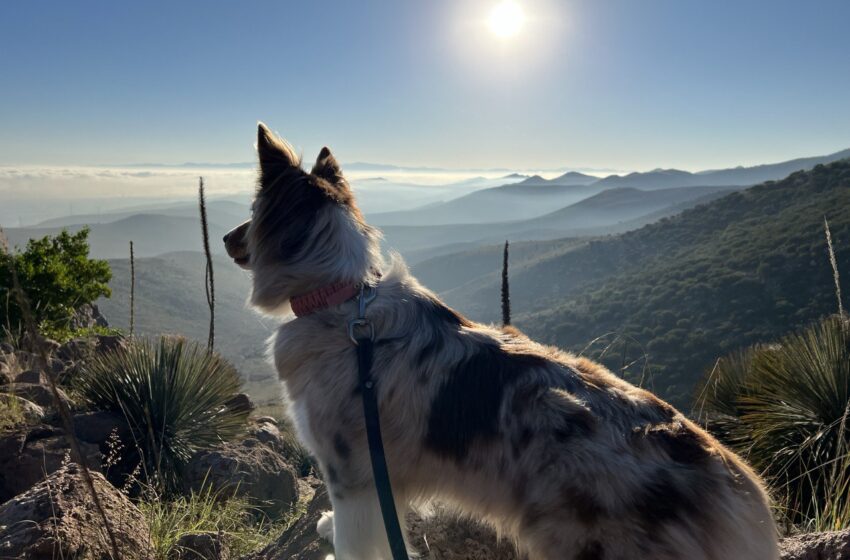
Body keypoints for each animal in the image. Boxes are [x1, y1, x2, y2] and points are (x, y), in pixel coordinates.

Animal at [224, 122, 776, 560]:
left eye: (251, 211)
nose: (227, 239)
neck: (341, 299)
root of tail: (735, 484)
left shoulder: (350, 473)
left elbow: (357, 542)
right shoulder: (382, 479)